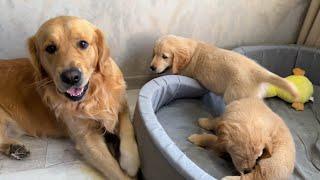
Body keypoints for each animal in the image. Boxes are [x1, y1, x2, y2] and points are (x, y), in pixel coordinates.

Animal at [0, 16, 140, 179]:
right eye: (50, 48)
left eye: (83, 44)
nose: (71, 77)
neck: (92, 96)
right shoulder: (86, 137)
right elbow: (115, 172)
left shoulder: (120, 103)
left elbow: (127, 126)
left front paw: (131, 161)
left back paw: (14, 148)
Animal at [149, 34, 298, 104]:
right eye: (154, 53)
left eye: (164, 56)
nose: (152, 67)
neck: (191, 53)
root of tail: (256, 70)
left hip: (234, 95)